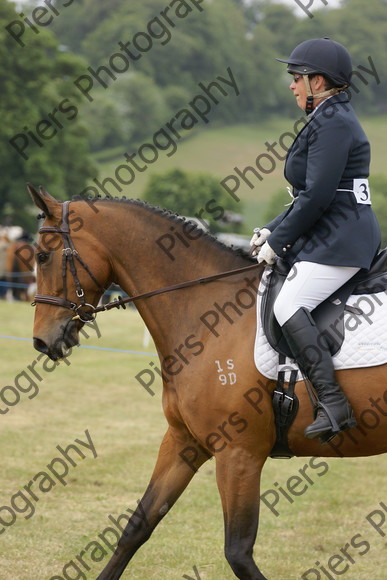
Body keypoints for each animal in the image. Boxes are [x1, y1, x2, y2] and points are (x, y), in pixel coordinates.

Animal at [28, 186, 387, 580]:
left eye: (43, 256)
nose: (42, 341)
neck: (206, 315)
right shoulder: (184, 441)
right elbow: (138, 525)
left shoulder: (238, 454)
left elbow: (238, 551)